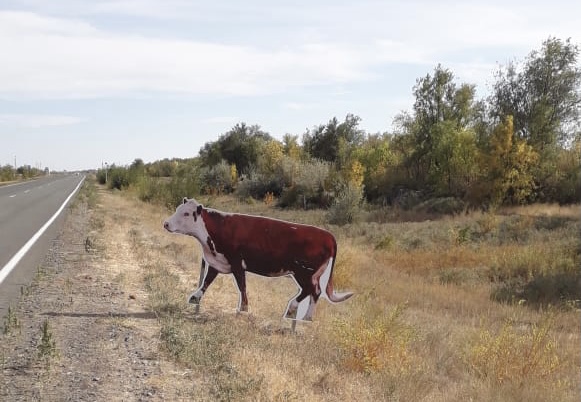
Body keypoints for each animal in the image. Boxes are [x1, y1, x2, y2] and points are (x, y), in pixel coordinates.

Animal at [163, 196, 354, 322]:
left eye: (186, 213)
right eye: (178, 210)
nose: (166, 223)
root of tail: (328, 235)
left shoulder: (237, 262)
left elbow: (242, 286)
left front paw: (243, 309)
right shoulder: (218, 261)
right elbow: (207, 281)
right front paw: (195, 298)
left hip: (304, 272)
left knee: (310, 290)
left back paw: (292, 310)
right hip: (310, 274)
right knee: (316, 292)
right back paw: (306, 318)